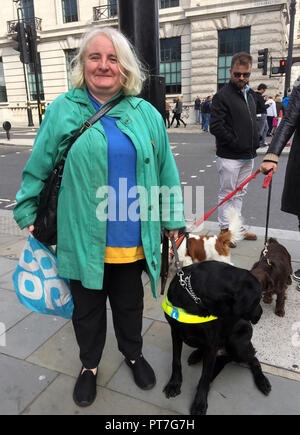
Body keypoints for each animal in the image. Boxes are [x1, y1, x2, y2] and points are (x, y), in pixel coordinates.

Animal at [164, 262, 272, 416]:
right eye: (257, 300)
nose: (261, 313)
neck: (195, 298)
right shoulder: (175, 332)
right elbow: (176, 361)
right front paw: (174, 384)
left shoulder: (211, 344)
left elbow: (204, 377)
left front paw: (199, 403)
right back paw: (197, 355)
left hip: (237, 343)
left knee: (253, 359)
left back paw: (262, 382)